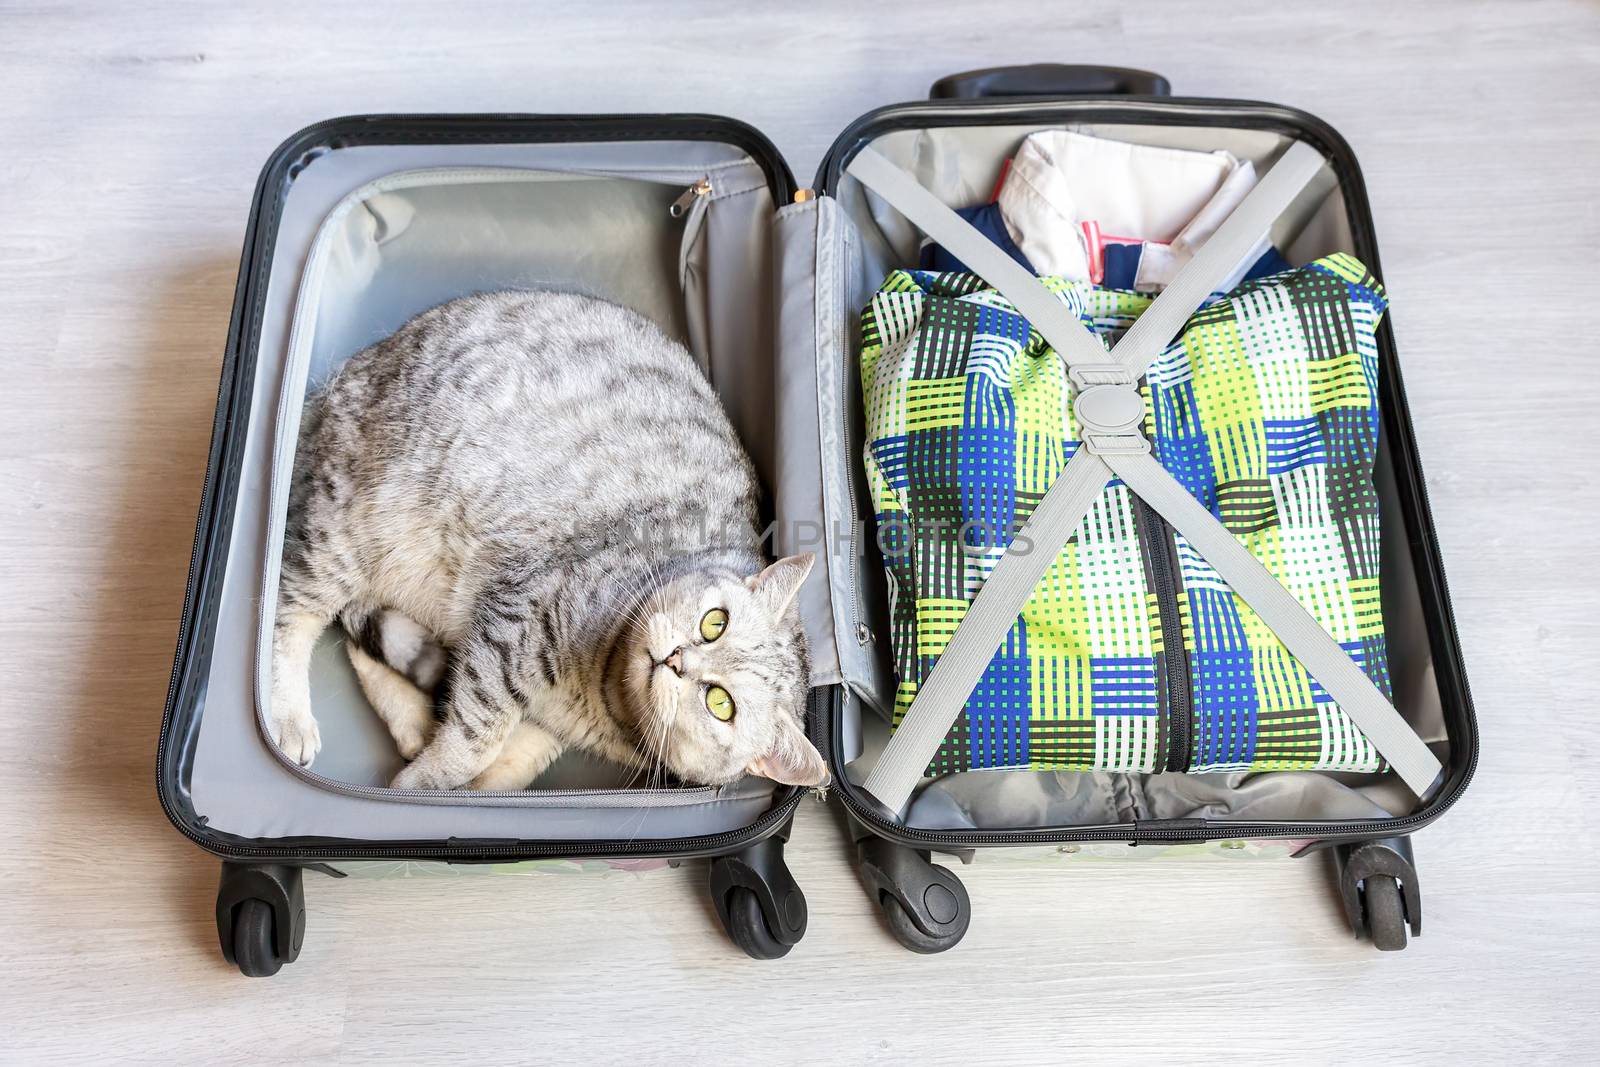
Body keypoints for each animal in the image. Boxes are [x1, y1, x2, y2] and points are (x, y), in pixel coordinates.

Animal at [267, 289, 825, 793]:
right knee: (291, 609)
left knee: (357, 639)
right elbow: (475, 739)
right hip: (346, 529)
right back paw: (289, 718)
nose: (674, 659)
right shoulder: (518, 619)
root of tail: (348, 373)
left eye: (720, 703)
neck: (605, 700)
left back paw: (414, 723)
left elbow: (510, 764)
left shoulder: (546, 727)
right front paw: (422, 787)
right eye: (715, 623)